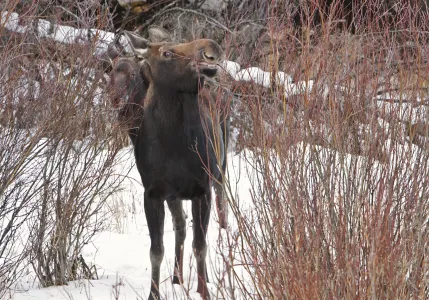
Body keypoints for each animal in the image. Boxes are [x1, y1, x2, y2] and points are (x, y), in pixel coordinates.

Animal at [108, 29, 229, 298]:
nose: (211, 48)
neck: (174, 146)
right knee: (181, 226)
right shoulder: (153, 192)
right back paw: (176, 277)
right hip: (175, 196)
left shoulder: (201, 189)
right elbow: (156, 251)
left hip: (219, 170)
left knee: (222, 209)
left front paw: (204, 291)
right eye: (166, 53)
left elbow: (200, 246)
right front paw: (154, 293)